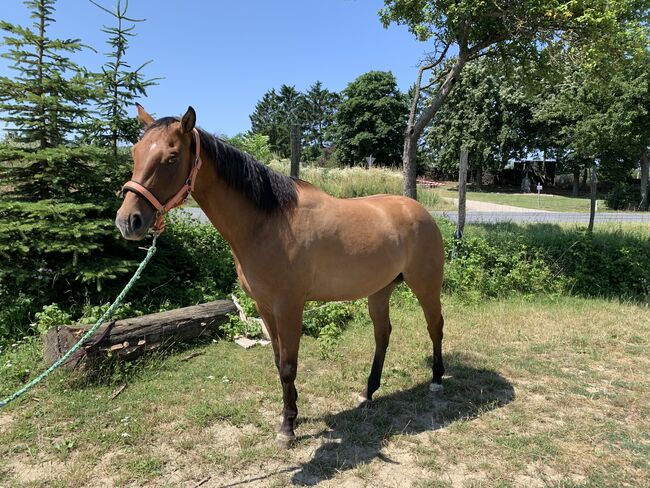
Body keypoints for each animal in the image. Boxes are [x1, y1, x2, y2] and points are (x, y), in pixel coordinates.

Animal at [115, 105, 446, 448]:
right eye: (136, 152)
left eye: (172, 157)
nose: (128, 220)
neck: (267, 223)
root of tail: (420, 211)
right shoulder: (264, 306)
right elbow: (277, 361)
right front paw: (292, 412)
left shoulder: (289, 307)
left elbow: (288, 366)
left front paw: (287, 427)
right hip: (379, 291)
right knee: (383, 335)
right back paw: (368, 391)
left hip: (426, 285)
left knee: (435, 326)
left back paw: (436, 379)